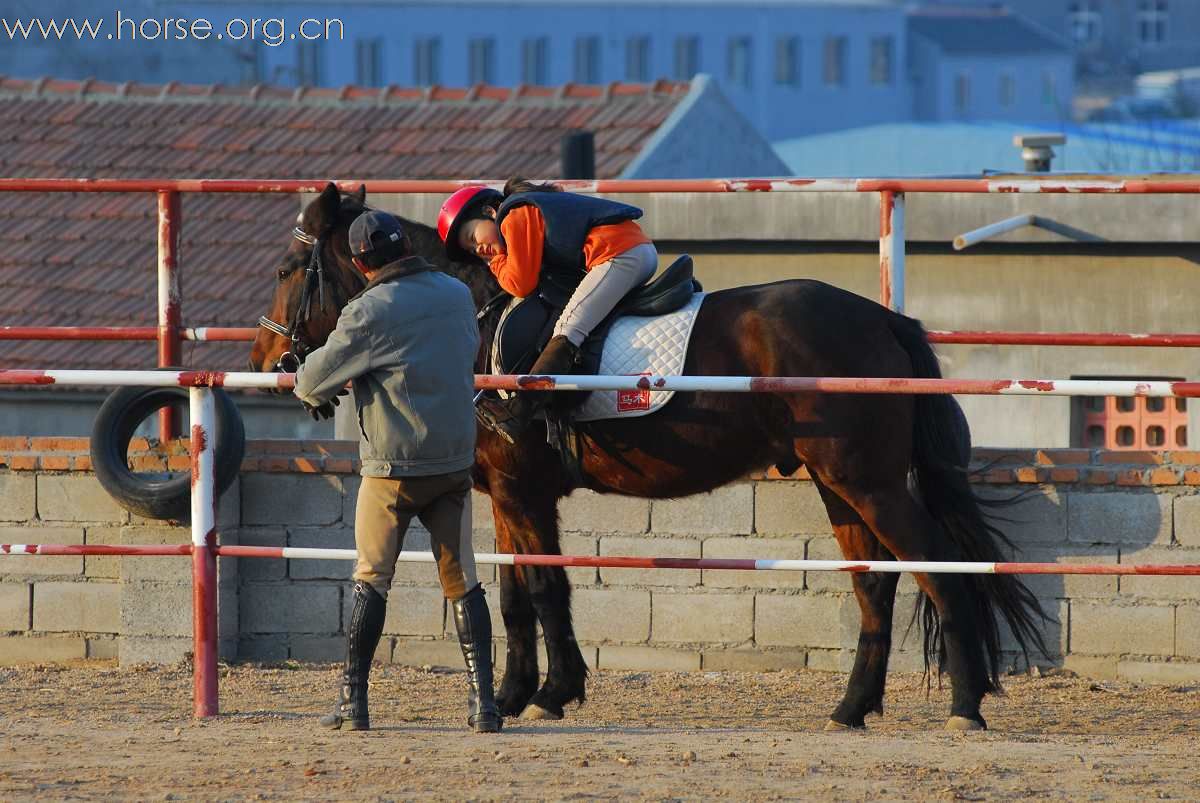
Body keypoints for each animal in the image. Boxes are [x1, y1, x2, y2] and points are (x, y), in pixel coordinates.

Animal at [248, 183, 1046, 734]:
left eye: (287, 268)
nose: (267, 362)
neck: (478, 317)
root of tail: (883, 319)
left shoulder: (519, 491)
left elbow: (544, 589)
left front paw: (547, 694)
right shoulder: (506, 492)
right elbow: (513, 594)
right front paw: (515, 692)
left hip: (869, 481)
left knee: (937, 567)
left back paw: (965, 705)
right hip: (839, 483)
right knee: (874, 584)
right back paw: (851, 707)